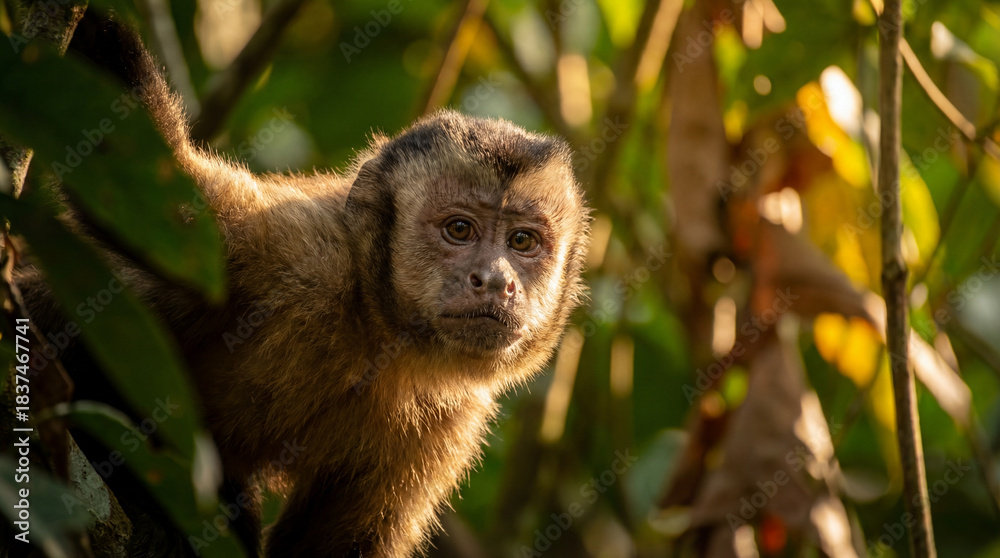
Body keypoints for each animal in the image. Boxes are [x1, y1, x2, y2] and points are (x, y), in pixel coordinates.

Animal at [12, 9, 589, 557]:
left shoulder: (450, 418)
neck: (375, 329)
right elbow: (152, 200)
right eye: (460, 230)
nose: (495, 280)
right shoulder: (291, 248)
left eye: (522, 242)